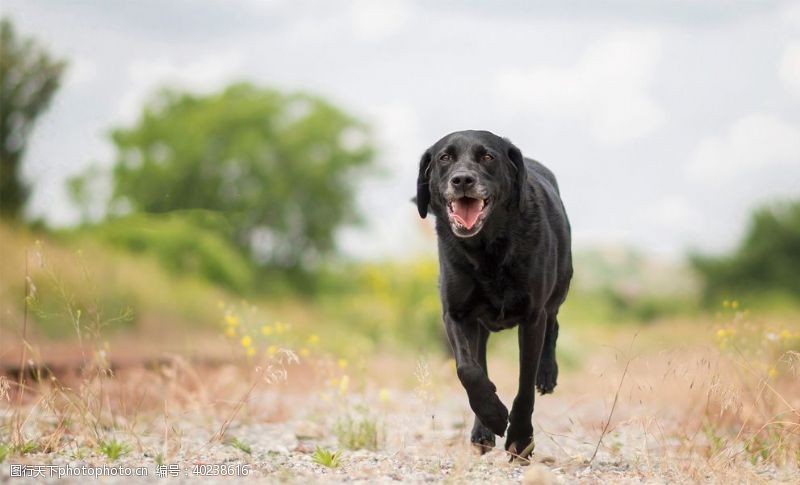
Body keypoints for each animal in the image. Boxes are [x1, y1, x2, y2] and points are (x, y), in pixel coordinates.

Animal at [416, 130, 572, 456]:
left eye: (487, 156)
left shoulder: (532, 317)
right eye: (444, 157)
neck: (487, 250)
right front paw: (493, 415)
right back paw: (482, 429)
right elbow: (469, 369)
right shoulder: (456, 314)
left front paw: (521, 440)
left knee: (553, 324)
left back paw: (547, 374)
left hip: (560, 286)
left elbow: (525, 386)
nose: (463, 180)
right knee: (479, 361)